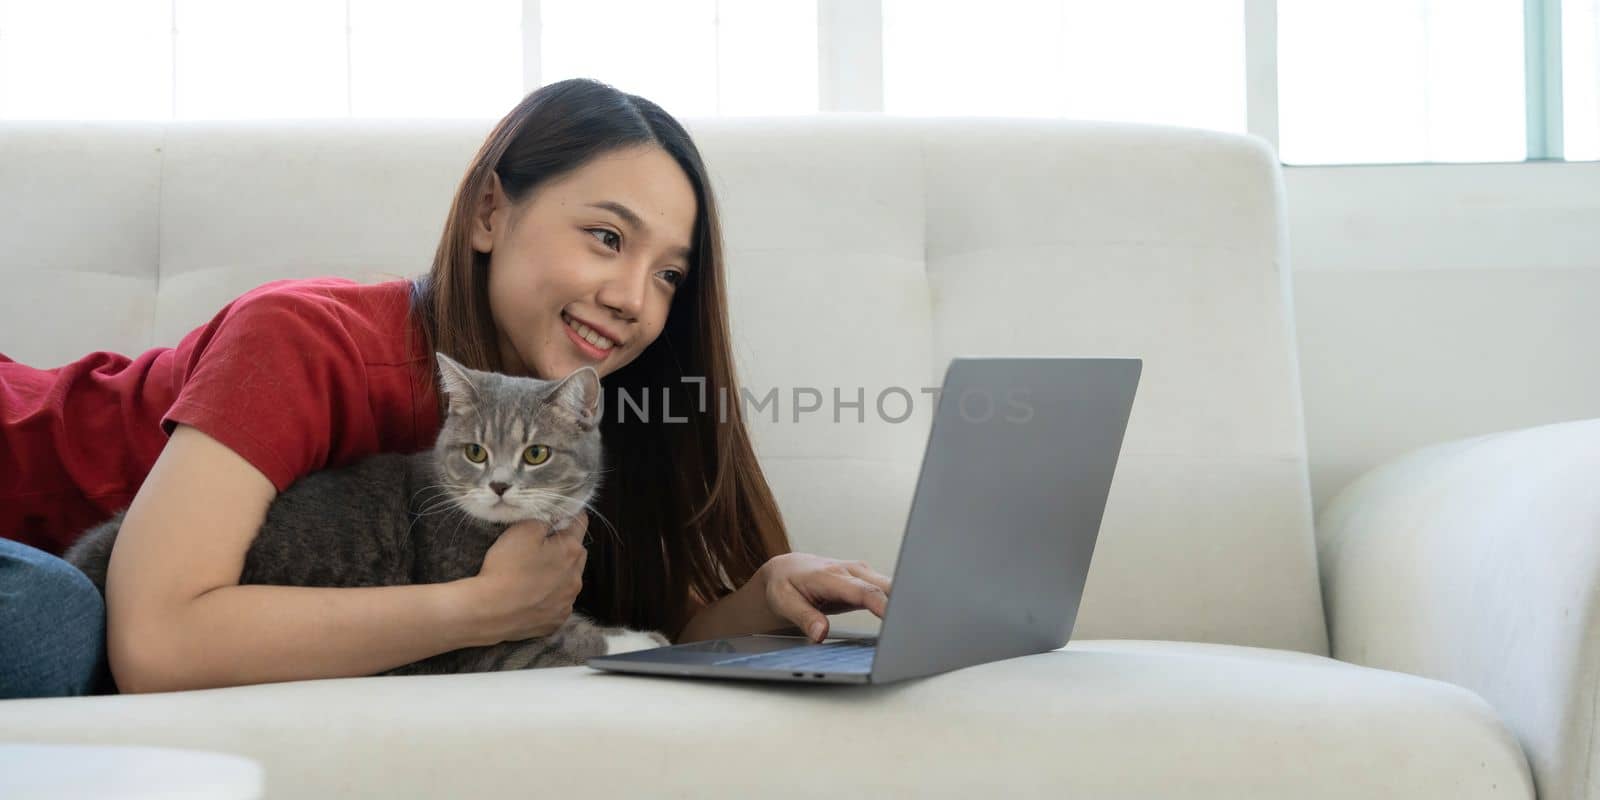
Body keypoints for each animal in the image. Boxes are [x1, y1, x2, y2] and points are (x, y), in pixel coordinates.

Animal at [64, 352, 668, 681]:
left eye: (536, 454)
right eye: (476, 452)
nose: (498, 485)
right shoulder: (486, 642)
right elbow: (567, 643)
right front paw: (639, 641)